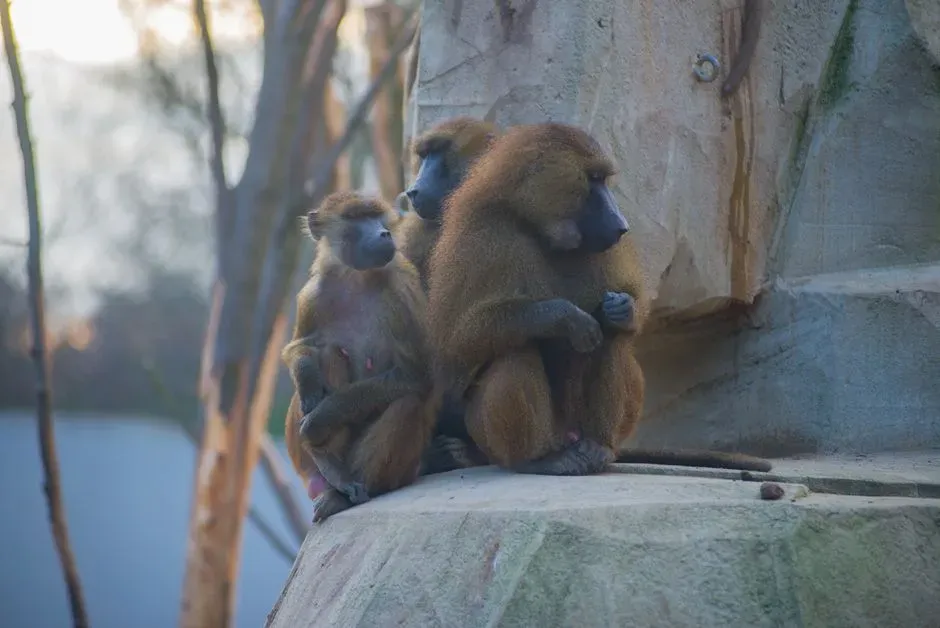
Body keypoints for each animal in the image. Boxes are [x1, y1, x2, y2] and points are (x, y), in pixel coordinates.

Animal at [281, 191, 439, 521]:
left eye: (377, 218)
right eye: (356, 219)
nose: (384, 233)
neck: (356, 277)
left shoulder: (402, 292)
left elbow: (416, 376)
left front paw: (320, 418)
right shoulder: (312, 295)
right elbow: (298, 349)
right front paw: (307, 378)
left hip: (401, 468)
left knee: (407, 403)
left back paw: (357, 489)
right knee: (328, 353)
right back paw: (329, 467)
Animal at [426, 122, 772, 476]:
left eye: (603, 179)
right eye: (592, 179)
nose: (621, 225)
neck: (540, 229)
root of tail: (567, 436)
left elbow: (623, 310)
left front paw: (621, 309)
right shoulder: (482, 235)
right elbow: (459, 340)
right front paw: (568, 318)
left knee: (611, 340)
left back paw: (597, 447)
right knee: (515, 350)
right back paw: (541, 459)